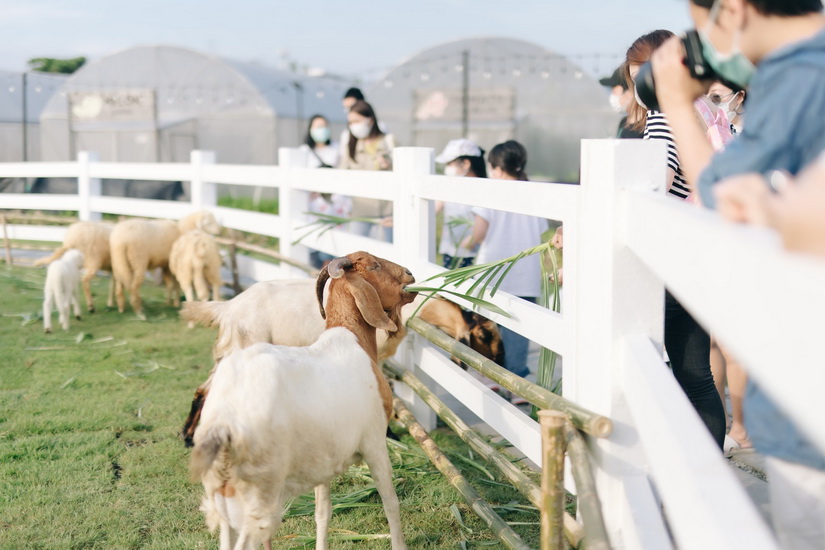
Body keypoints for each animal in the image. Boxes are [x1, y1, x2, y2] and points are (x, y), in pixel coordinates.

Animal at [192, 252, 412, 548]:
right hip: (260, 489)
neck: (352, 338)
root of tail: (225, 417)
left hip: (225, 490)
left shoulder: (325, 459)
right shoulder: (374, 442)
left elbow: (323, 512)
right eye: (373, 265)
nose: (409, 273)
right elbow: (391, 503)